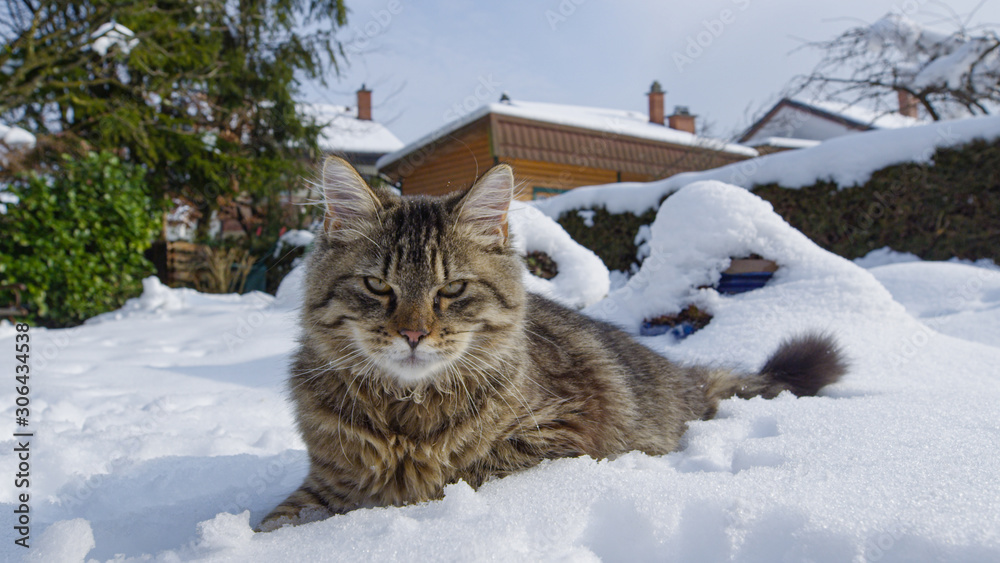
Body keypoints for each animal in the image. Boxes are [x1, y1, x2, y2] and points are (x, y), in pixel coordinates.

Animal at [256, 156, 844, 532]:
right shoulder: (326, 483)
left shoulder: (561, 432)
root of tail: (684, 375)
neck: (406, 412)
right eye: (378, 286)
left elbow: (460, 474)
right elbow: (276, 520)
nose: (414, 333)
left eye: (452, 289)